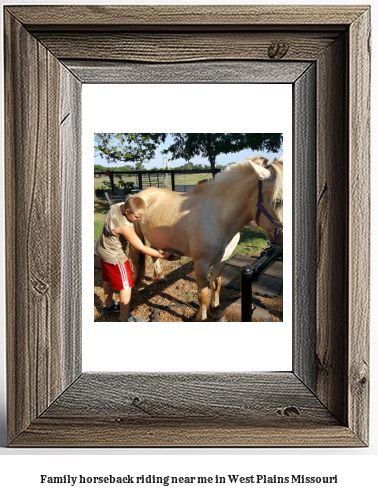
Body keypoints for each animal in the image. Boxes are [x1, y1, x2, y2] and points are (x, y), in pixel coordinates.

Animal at [130, 154, 284, 322]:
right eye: (278, 201)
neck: (218, 216)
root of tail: (136, 195)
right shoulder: (201, 263)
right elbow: (203, 294)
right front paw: (202, 317)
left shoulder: (222, 260)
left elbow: (216, 285)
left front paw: (216, 311)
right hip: (136, 235)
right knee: (136, 257)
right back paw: (140, 285)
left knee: (153, 252)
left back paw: (160, 277)